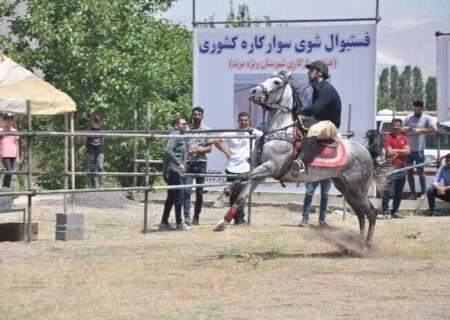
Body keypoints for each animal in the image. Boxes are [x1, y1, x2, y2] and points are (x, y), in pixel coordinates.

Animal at [214, 70, 386, 250]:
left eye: (276, 82)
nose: (254, 92)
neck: (279, 131)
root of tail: (367, 152)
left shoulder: (269, 167)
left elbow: (241, 176)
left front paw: (224, 194)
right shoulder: (259, 174)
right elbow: (241, 196)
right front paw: (222, 222)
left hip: (358, 188)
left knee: (371, 212)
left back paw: (366, 246)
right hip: (344, 186)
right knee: (360, 212)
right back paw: (357, 243)